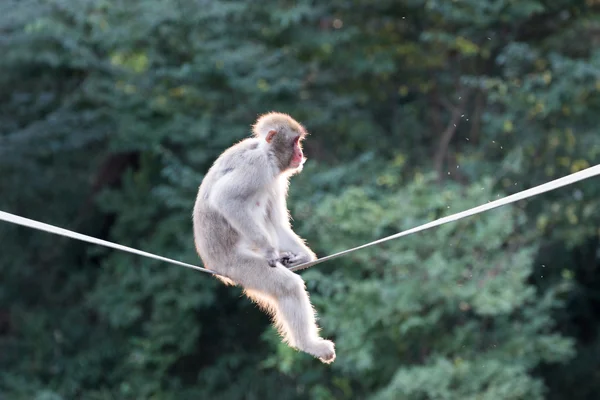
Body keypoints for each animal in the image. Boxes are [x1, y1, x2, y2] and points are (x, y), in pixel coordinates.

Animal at [192, 111, 336, 364]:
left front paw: (305, 256)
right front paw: (270, 251)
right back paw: (309, 344)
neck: (266, 152)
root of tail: (212, 265)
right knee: (287, 286)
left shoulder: (276, 177)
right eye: (295, 142)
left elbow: (276, 223)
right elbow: (225, 199)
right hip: (237, 265)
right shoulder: (257, 166)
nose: (301, 154)